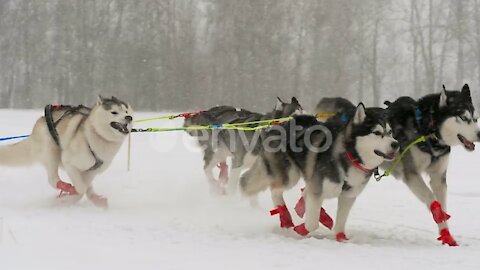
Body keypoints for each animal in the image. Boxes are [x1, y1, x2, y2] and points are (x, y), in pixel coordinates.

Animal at [0, 96, 133, 208]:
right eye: (114, 112)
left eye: (126, 111)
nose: (129, 117)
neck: (99, 136)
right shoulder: (69, 163)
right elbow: (81, 188)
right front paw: (68, 196)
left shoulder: (92, 171)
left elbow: (85, 187)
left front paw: (70, 198)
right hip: (51, 151)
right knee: (52, 179)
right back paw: (66, 187)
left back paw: (95, 199)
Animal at [240, 104, 398, 240]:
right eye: (377, 132)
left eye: (390, 132)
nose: (396, 144)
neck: (350, 156)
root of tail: (279, 125)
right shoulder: (318, 191)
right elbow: (312, 224)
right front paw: (300, 230)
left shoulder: (348, 196)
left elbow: (340, 223)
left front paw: (341, 238)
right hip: (290, 175)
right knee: (275, 190)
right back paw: (286, 219)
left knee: (303, 193)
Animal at [382, 85, 480, 247]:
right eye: (463, 118)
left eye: (475, 119)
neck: (427, 131)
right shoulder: (411, 174)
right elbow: (431, 198)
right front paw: (438, 214)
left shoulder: (438, 178)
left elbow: (442, 203)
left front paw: (447, 237)